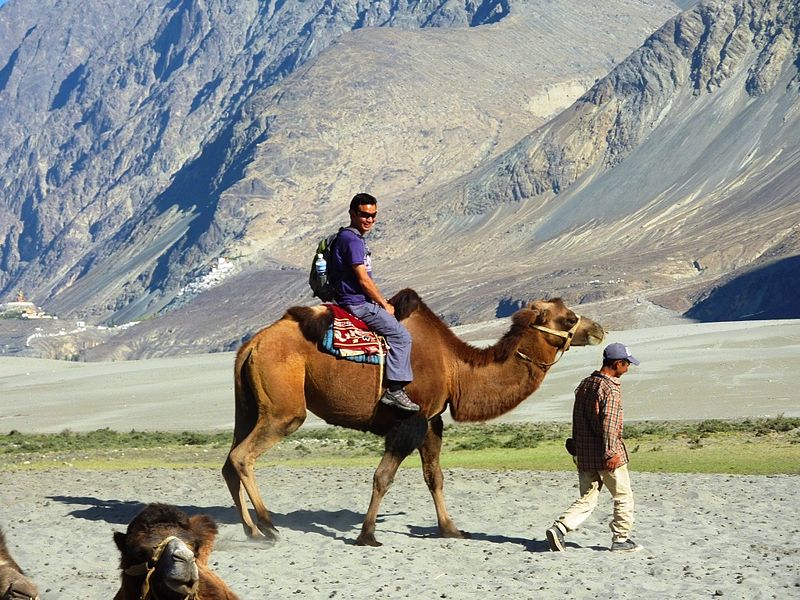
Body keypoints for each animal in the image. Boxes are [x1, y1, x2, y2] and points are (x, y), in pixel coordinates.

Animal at [222, 288, 604, 548]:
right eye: (569, 318)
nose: (598, 329)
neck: (455, 368)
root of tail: (252, 344)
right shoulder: (411, 419)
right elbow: (383, 477)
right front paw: (367, 535)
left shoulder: (432, 420)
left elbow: (435, 477)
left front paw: (451, 529)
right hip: (284, 409)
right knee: (243, 456)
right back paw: (268, 525)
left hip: (248, 405)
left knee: (229, 462)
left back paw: (251, 530)